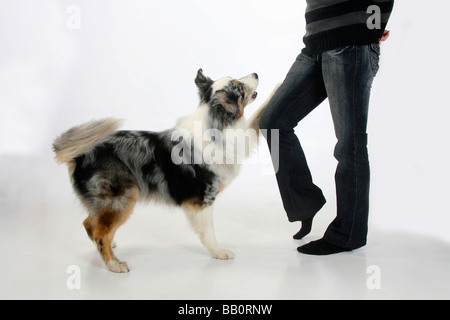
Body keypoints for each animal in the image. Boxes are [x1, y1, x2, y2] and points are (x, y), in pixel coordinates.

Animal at [51, 69, 278, 272]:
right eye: (239, 86)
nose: (256, 73)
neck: (217, 124)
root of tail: (81, 155)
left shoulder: (241, 142)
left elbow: (257, 121)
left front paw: (278, 87)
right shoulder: (203, 199)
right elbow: (208, 231)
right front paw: (219, 252)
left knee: (90, 224)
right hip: (123, 197)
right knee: (98, 233)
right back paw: (114, 263)